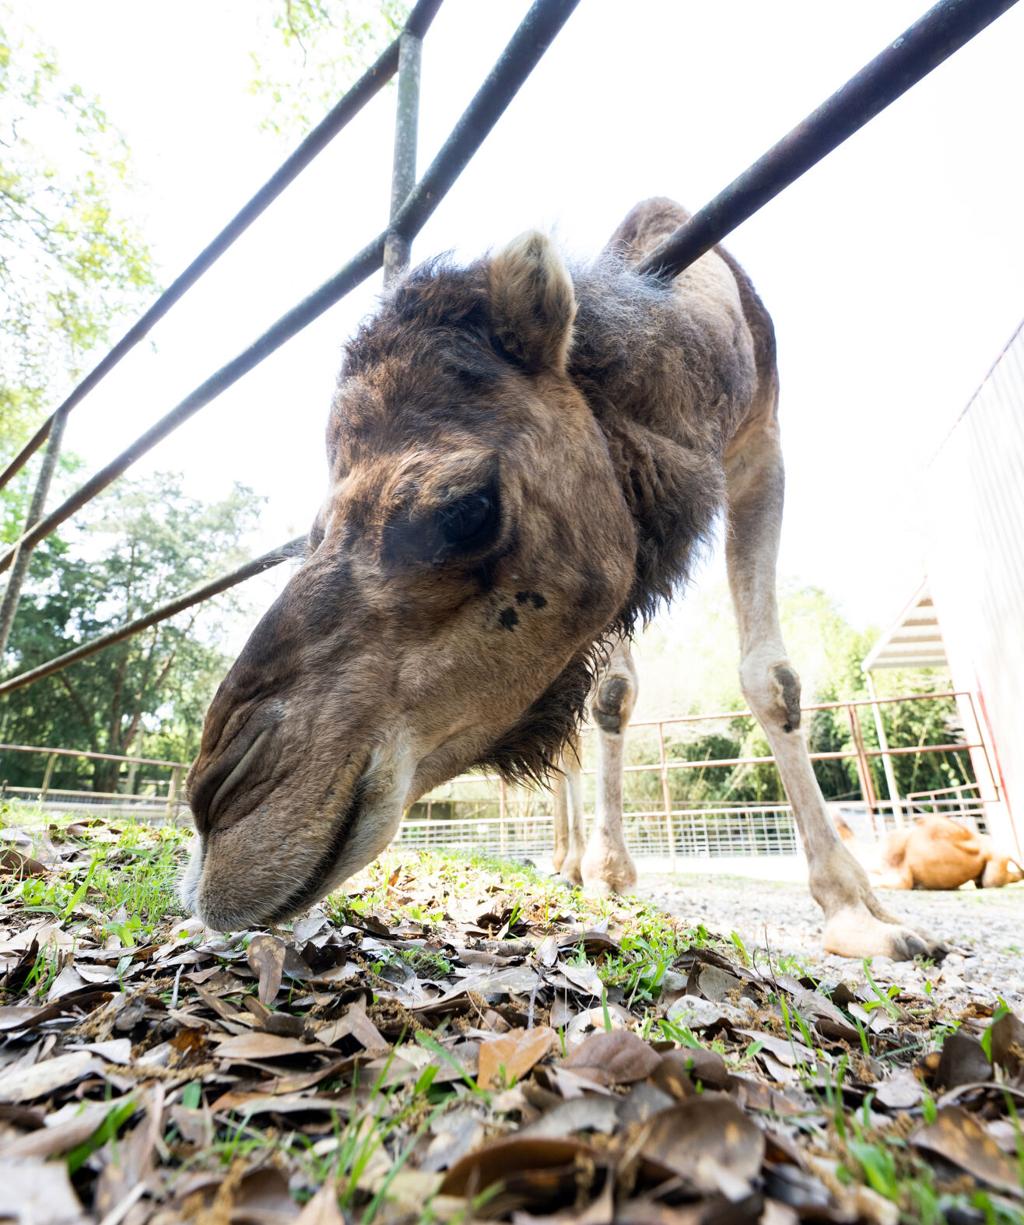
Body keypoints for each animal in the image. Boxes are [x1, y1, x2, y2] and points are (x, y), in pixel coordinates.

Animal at [180, 200, 945, 960]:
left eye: (467, 509)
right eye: (310, 536)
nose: (217, 809)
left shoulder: (762, 442)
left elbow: (771, 678)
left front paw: (862, 914)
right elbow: (610, 695)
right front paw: (609, 872)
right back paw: (569, 861)